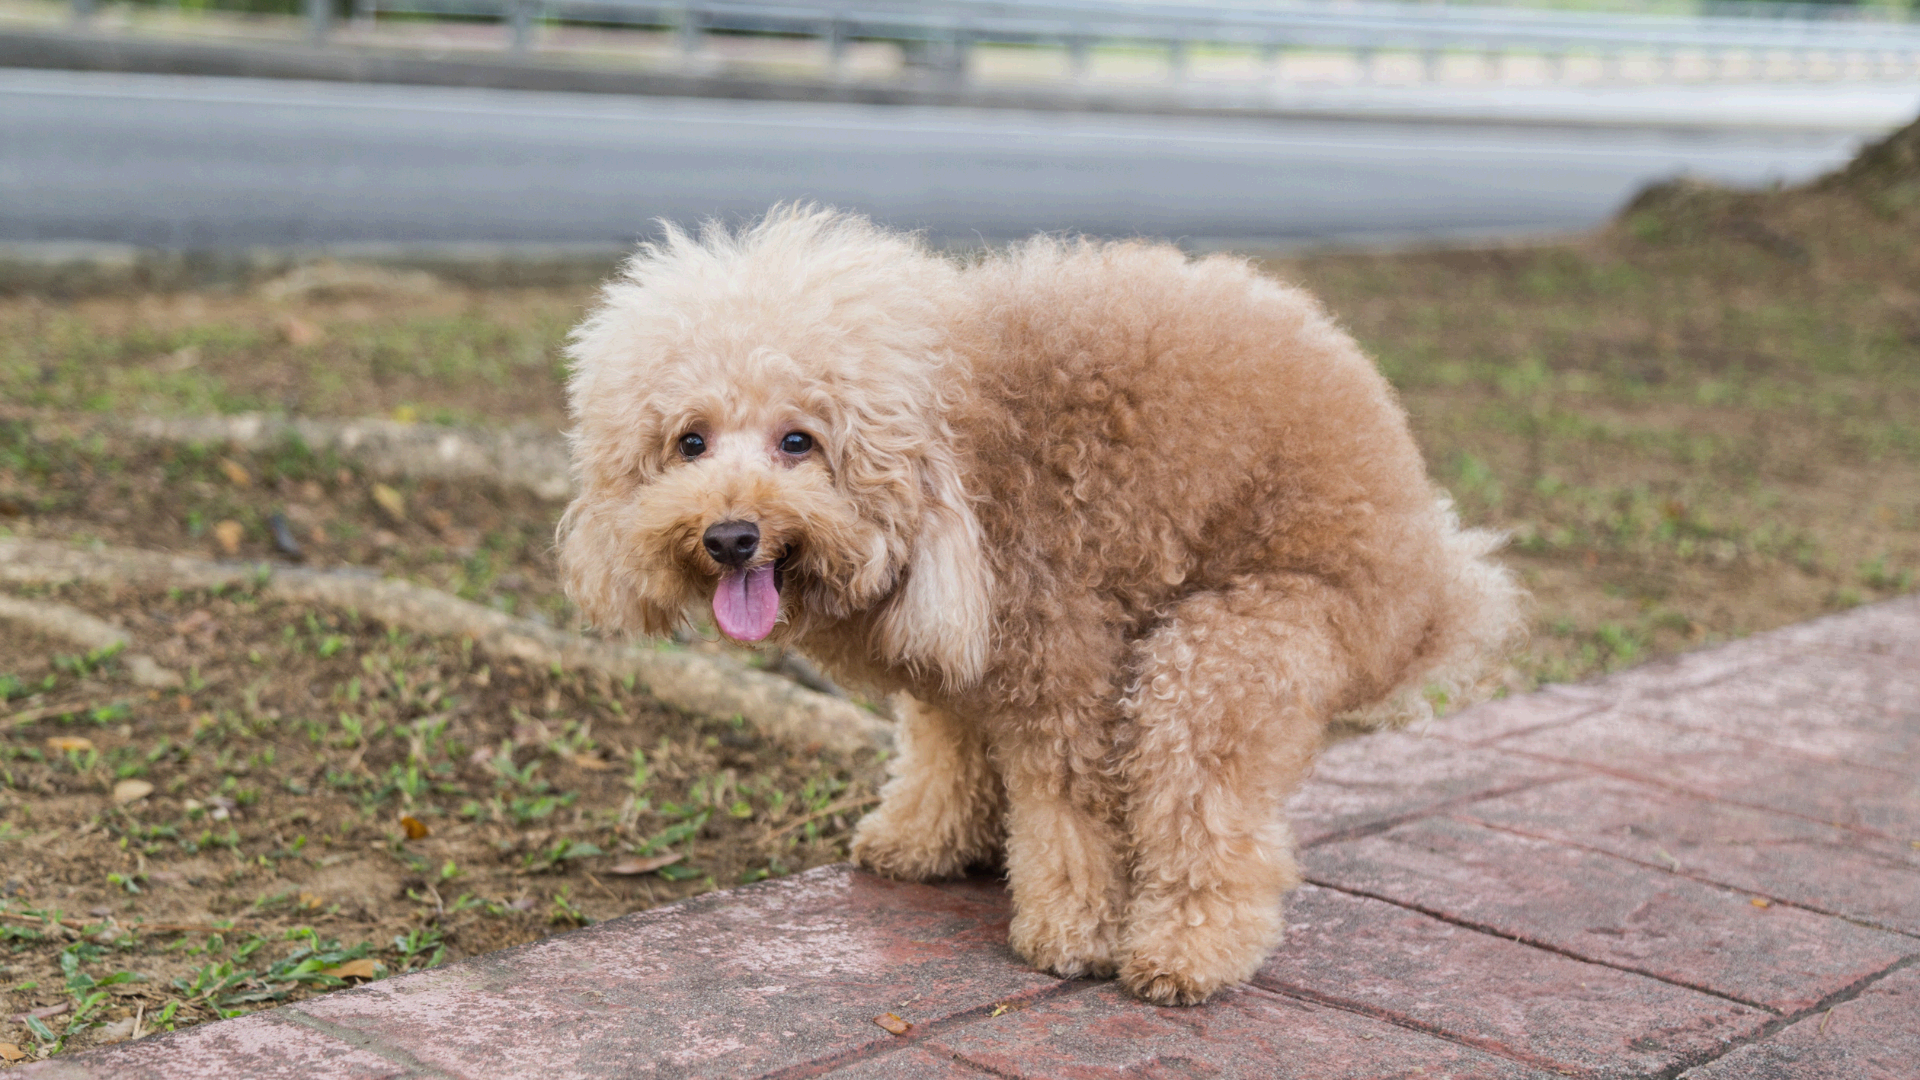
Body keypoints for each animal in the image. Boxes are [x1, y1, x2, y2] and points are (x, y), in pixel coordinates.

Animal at [560, 208, 1528, 999]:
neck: (958, 437)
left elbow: (1070, 808)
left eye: (798, 442)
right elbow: (945, 746)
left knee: (1204, 803)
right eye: (690, 442)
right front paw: (923, 841)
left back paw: (1184, 953)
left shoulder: (1060, 657)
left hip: (1236, 643)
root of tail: (1433, 586)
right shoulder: (954, 658)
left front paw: (1073, 932)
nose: (730, 537)